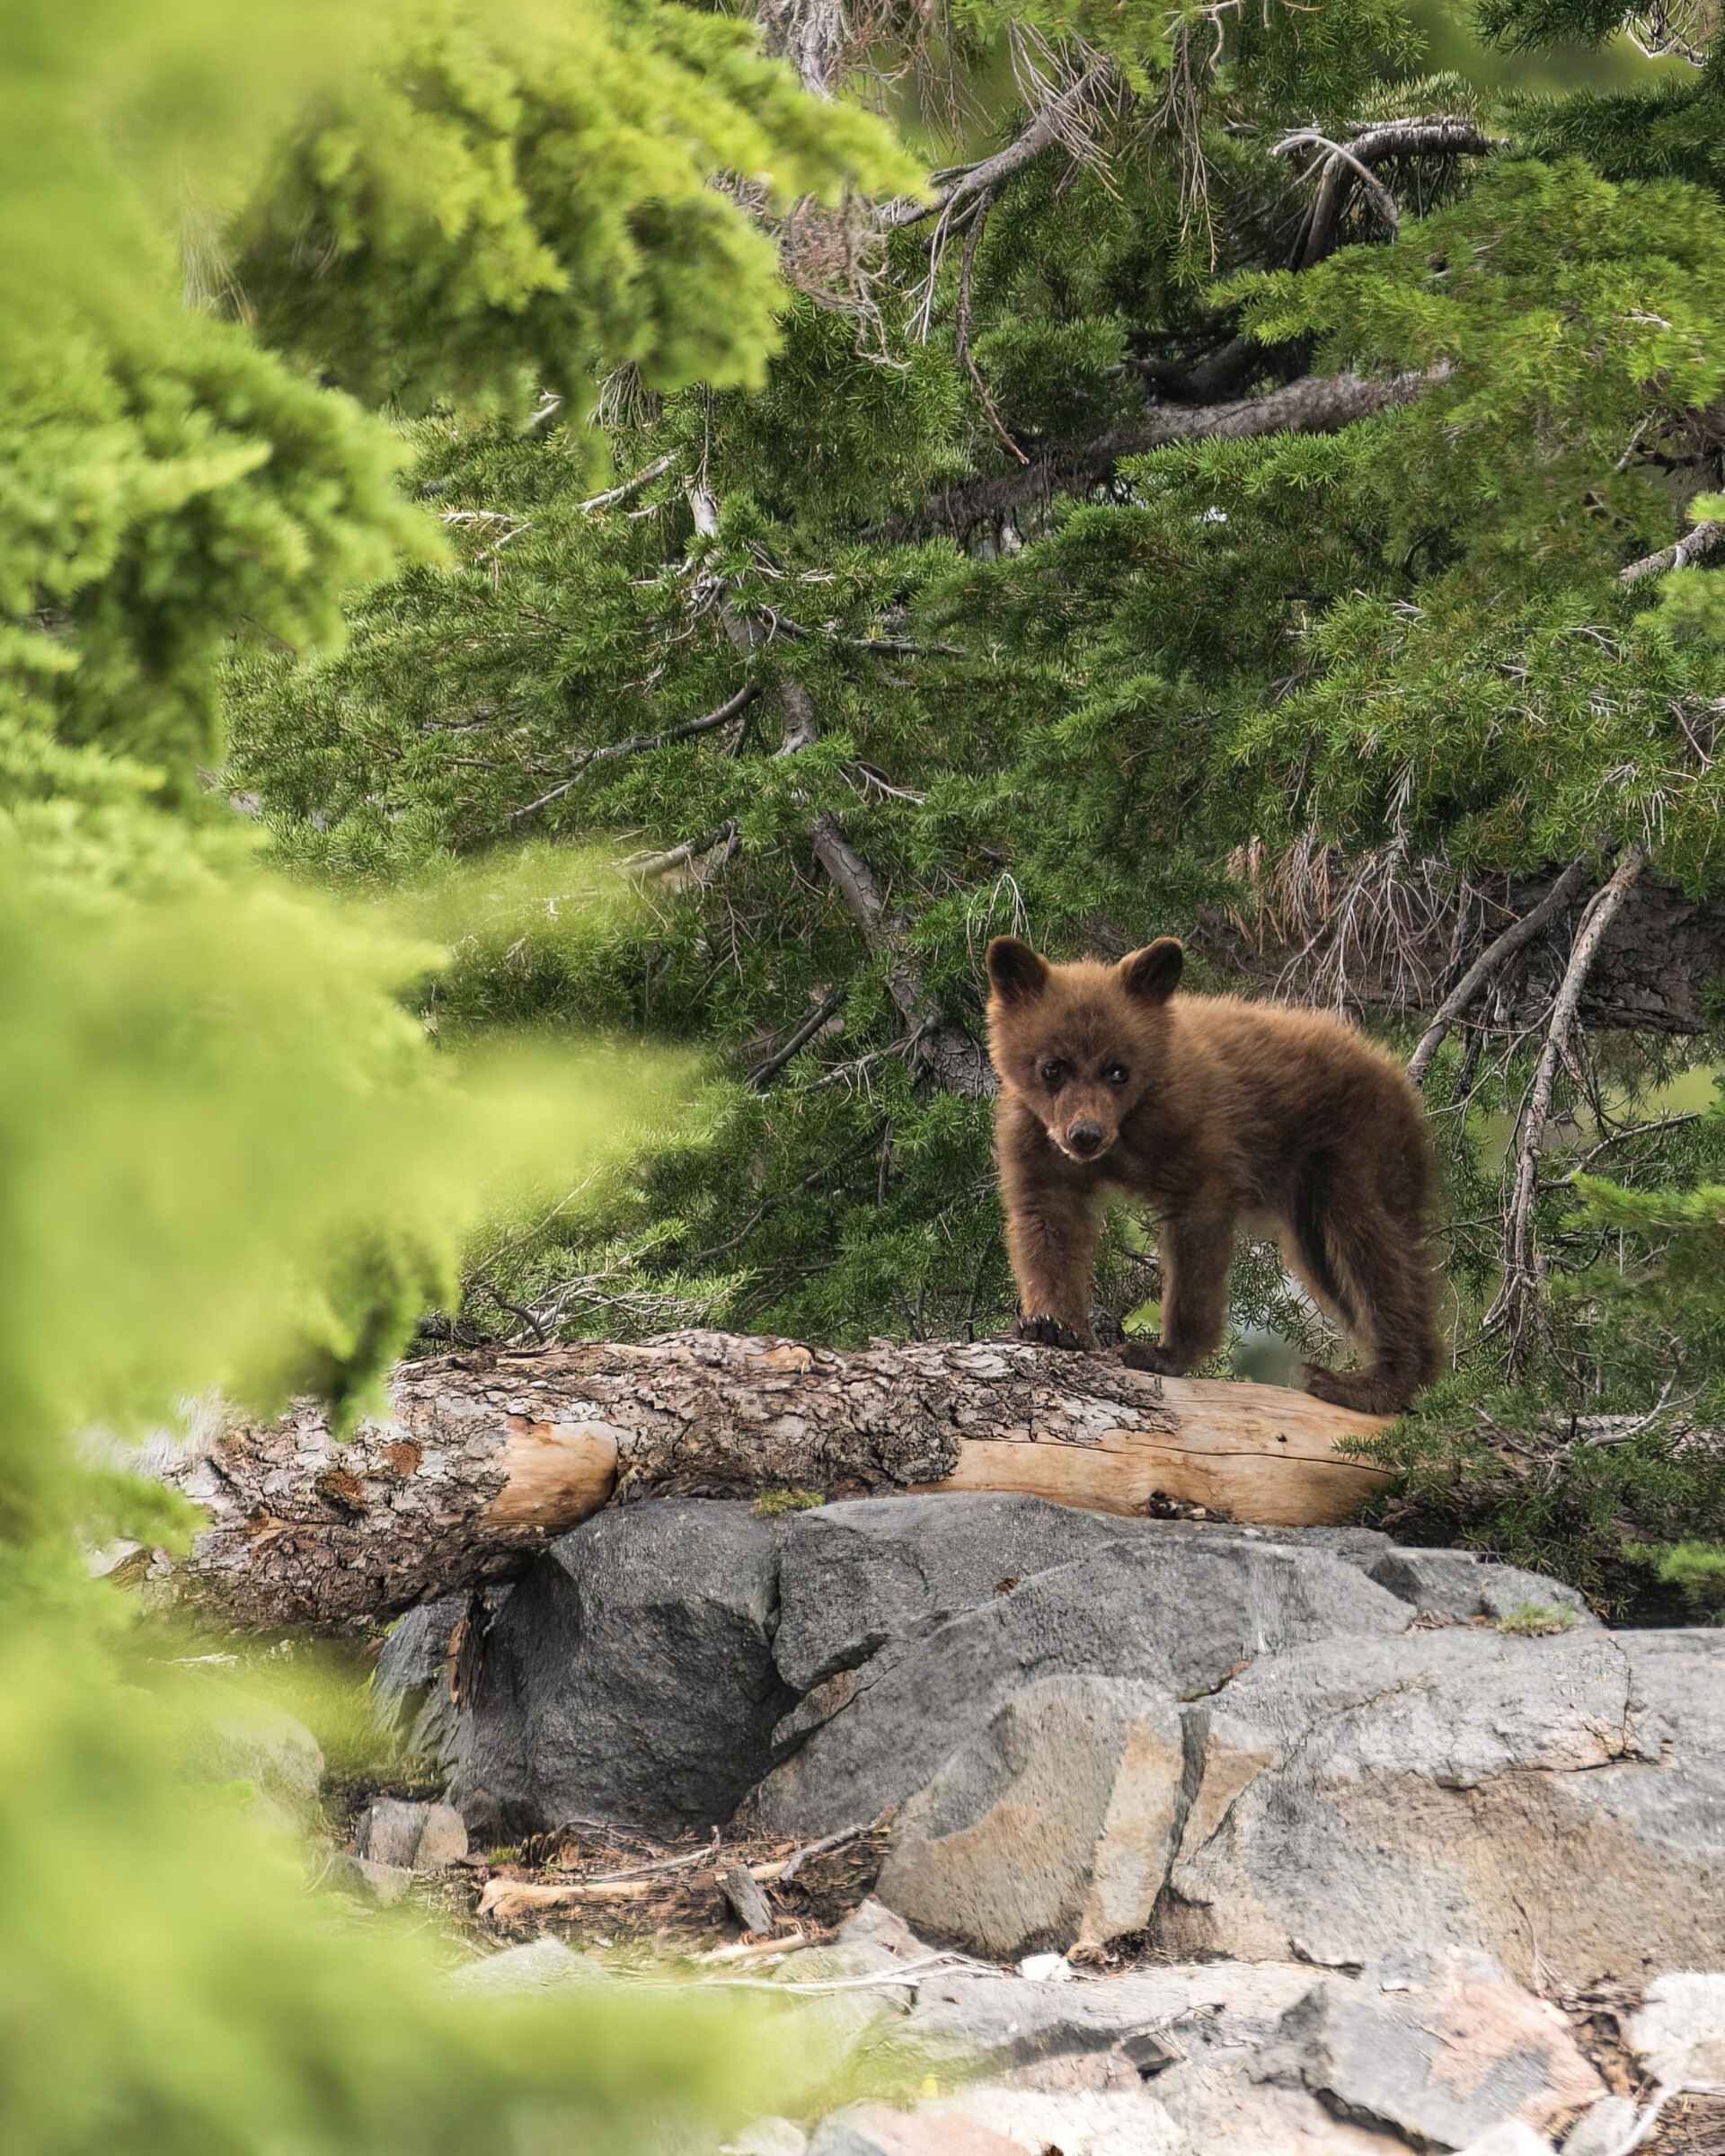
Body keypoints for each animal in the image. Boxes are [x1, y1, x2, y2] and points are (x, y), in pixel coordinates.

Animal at [985, 933, 1442, 1415]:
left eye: (1118, 1070)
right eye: (1053, 1067)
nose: (1086, 1135)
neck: (1128, 1128)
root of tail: (1389, 1068)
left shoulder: (1195, 1134)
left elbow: (1196, 1240)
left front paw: (1161, 1352)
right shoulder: (1035, 1140)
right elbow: (1047, 1220)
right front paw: (1052, 1325)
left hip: (1358, 1146)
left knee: (1374, 1252)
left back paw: (1372, 1383)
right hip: (1311, 1205)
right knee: (1333, 1267)